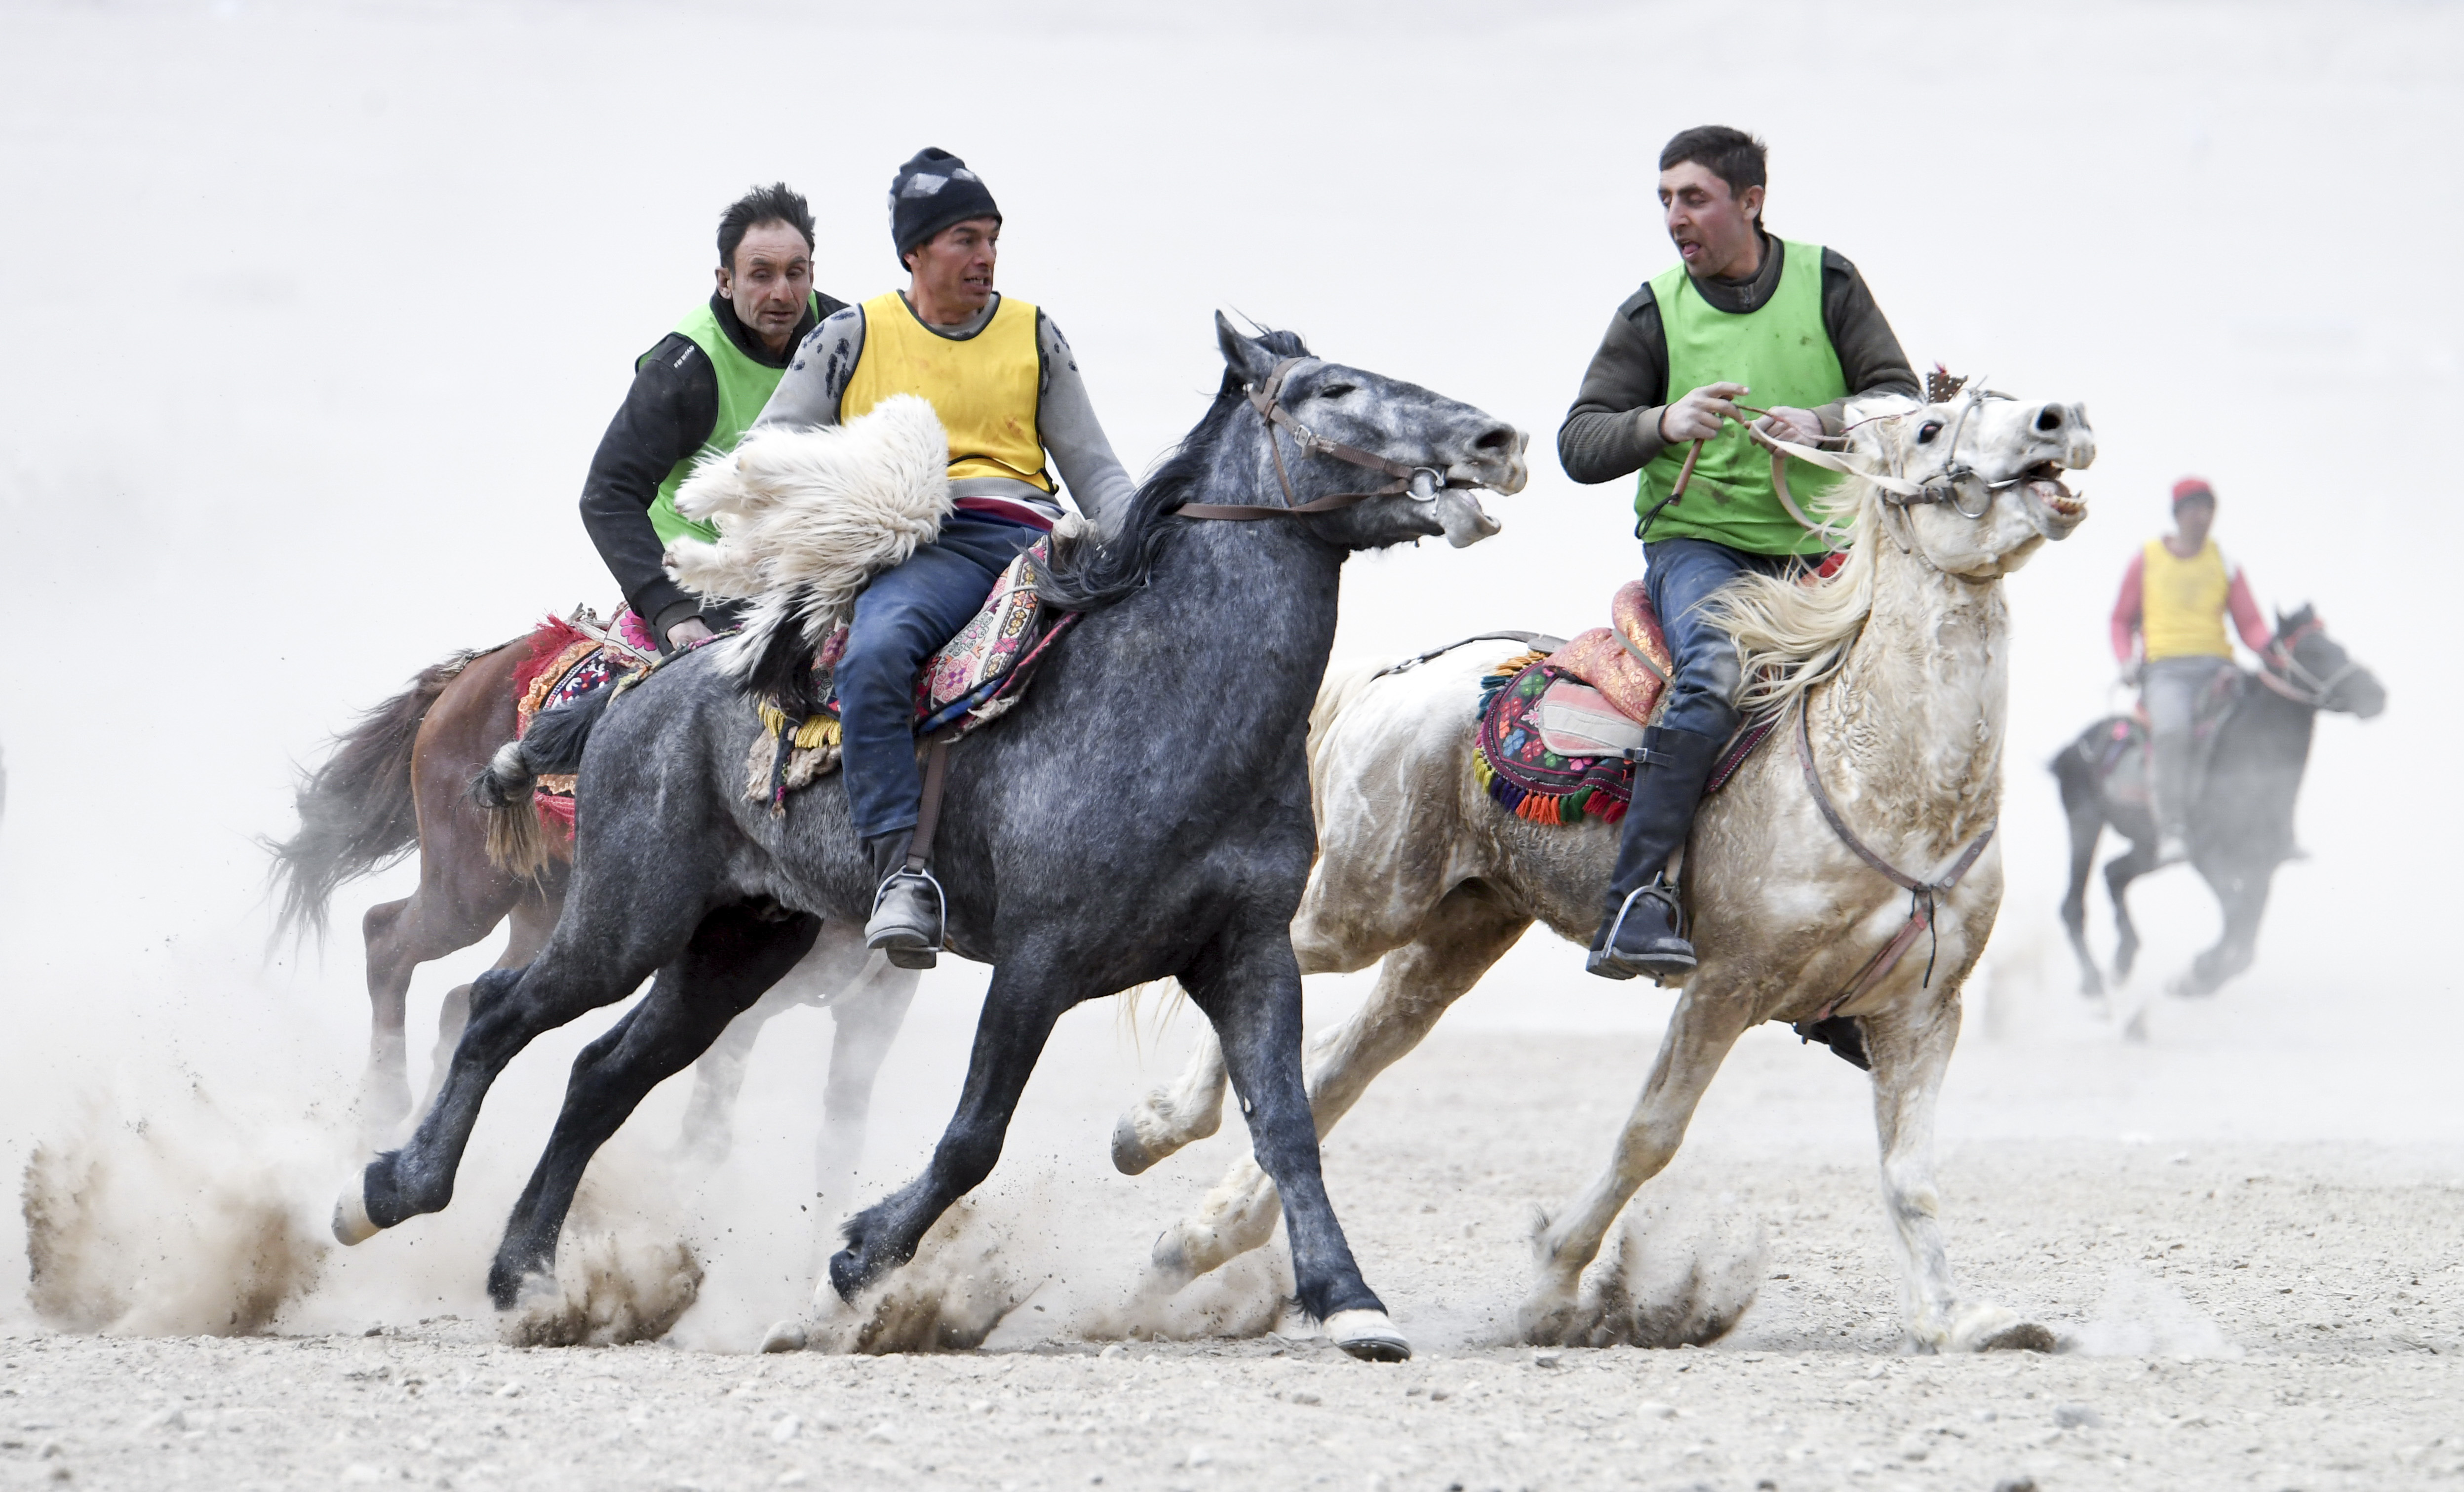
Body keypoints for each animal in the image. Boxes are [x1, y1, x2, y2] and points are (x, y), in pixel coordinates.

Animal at [270, 628, 921, 1174]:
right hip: (469, 892)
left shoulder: (874, 1014)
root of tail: (471, 671)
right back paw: (384, 1108)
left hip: (547, 914)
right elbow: (704, 1137)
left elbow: (838, 1145)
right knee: (386, 939)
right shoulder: (741, 1002)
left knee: (463, 999)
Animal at [1108, 382, 2089, 1351]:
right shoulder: (1725, 985)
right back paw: (1151, 1131)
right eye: (1929, 427)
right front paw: (1551, 1287)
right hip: (1365, 902)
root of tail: (1400, 675)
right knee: (1277, 966)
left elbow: (1910, 1173)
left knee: (1337, 1066)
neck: (1883, 776)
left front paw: (1957, 1320)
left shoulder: (1921, 1013)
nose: (2060, 420)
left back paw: (1196, 1242)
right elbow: (1649, 1136)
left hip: (1457, 936)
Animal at [2060, 604, 2385, 1001]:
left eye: (2339, 646)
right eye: (2312, 652)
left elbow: (2247, 927)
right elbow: (2235, 913)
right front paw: (2197, 974)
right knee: (2073, 904)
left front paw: (2203, 977)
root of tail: (2074, 746)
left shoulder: (2264, 862)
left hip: (2148, 848)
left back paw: (2122, 962)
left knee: (2114, 874)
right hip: (2084, 824)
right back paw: (2093, 982)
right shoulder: (2206, 855)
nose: (2377, 694)